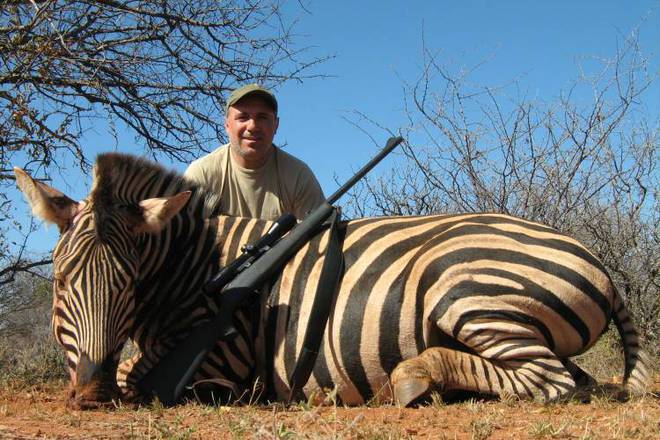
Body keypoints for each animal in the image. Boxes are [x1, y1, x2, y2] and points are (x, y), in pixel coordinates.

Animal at [14, 152, 649, 409]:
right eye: (61, 282)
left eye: (128, 285)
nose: (90, 395)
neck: (197, 266)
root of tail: (605, 270)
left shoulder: (225, 354)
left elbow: (138, 374)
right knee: (573, 379)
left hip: (462, 287)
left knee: (551, 382)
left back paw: (416, 378)